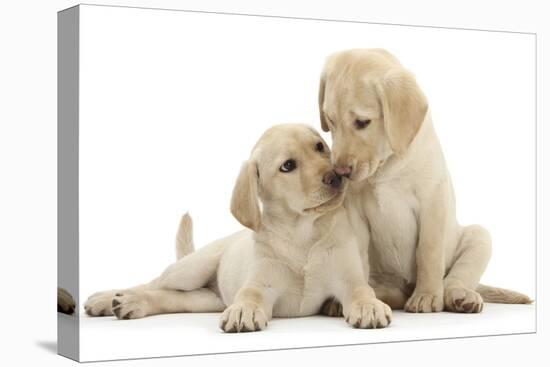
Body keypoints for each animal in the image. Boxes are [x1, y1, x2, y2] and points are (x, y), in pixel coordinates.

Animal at [85, 124, 392, 334]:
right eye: (288, 166)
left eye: (319, 147)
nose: (336, 176)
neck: (302, 233)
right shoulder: (260, 283)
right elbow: (249, 295)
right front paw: (244, 310)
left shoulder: (349, 279)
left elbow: (362, 291)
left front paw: (369, 306)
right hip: (191, 269)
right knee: (151, 283)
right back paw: (111, 299)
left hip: (206, 299)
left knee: (171, 298)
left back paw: (130, 304)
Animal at [320, 48, 536, 314]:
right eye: (330, 120)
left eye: (362, 122)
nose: (340, 171)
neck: (386, 165)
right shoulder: (355, 212)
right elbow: (358, 260)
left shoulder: (433, 200)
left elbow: (429, 251)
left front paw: (427, 295)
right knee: (394, 292)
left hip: (479, 236)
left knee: (457, 277)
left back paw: (460, 296)